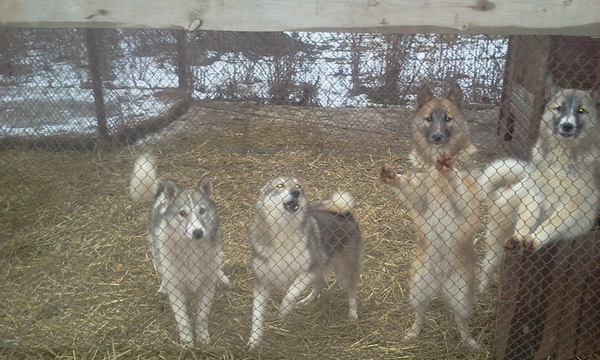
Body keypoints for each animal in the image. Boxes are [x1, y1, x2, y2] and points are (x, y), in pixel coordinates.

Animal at [130, 153, 229, 348]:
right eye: (183, 213)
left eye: (202, 211)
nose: (197, 232)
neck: (192, 251)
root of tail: (162, 194)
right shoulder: (176, 289)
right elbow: (183, 320)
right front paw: (187, 343)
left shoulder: (207, 285)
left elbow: (202, 316)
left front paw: (203, 337)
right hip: (156, 252)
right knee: (161, 269)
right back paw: (163, 286)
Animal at [247, 176, 364, 350]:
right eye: (279, 185)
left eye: (297, 186)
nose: (296, 193)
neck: (284, 232)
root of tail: (346, 213)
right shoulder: (262, 282)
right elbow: (256, 315)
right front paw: (254, 340)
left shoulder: (311, 268)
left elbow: (290, 294)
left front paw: (284, 311)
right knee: (320, 284)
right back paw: (307, 301)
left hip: (345, 271)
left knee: (351, 291)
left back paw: (353, 315)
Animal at [380, 83, 482, 350]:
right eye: (429, 119)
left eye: (447, 118)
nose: (436, 137)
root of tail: (440, 283)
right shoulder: (419, 199)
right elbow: (406, 186)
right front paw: (393, 177)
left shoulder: (464, 204)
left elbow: (456, 182)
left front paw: (448, 167)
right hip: (417, 289)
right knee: (420, 314)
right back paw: (413, 333)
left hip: (462, 298)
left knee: (461, 321)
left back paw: (469, 341)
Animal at [478, 76, 600, 292]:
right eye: (559, 108)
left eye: (580, 110)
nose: (567, 126)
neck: (562, 156)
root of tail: (498, 195)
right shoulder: (535, 193)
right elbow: (527, 219)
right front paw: (521, 236)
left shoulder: (573, 204)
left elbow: (551, 223)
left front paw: (533, 239)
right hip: (498, 243)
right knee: (487, 265)